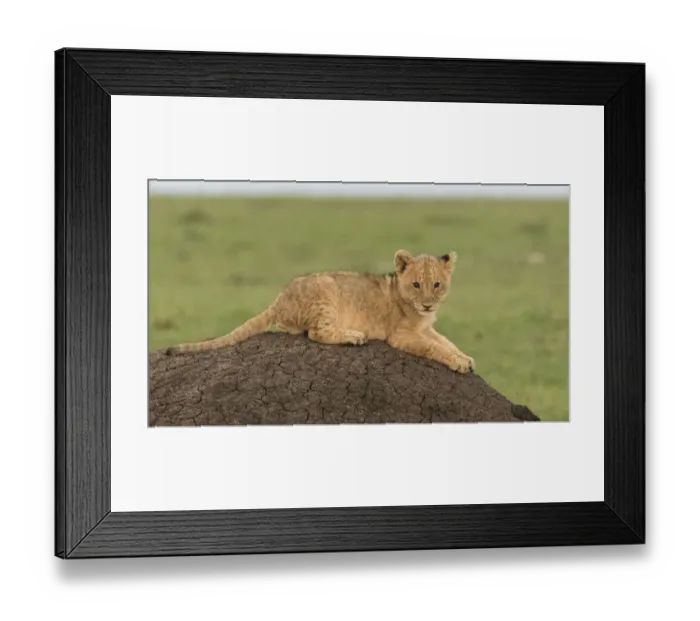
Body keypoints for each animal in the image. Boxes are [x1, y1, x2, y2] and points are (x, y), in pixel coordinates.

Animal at [166, 249, 475, 373]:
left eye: (437, 285)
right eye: (416, 284)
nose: (428, 304)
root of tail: (278, 299)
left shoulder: (425, 328)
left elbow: (446, 342)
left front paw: (466, 358)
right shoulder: (401, 336)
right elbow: (434, 348)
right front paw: (458, 363)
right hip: (326, 290)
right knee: (316, 333)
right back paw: (353, 336)